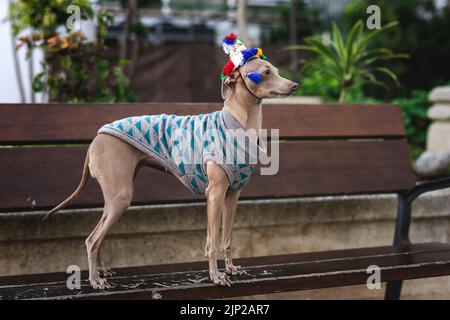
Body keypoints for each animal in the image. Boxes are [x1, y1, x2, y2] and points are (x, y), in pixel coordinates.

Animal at [43, 34, 298, 290]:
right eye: (266, 72)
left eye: (276, 70)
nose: (295, 85)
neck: (240, 121)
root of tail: (96, 138)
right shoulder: (214, 194)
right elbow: (212, 240)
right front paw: (216, 276)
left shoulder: (232, 195)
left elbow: (226, 238)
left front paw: (231, 269)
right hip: (121, 197)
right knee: (92, 239)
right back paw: (95, 279)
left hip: (115, 197)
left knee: (99, 234)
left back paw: (102, 271)